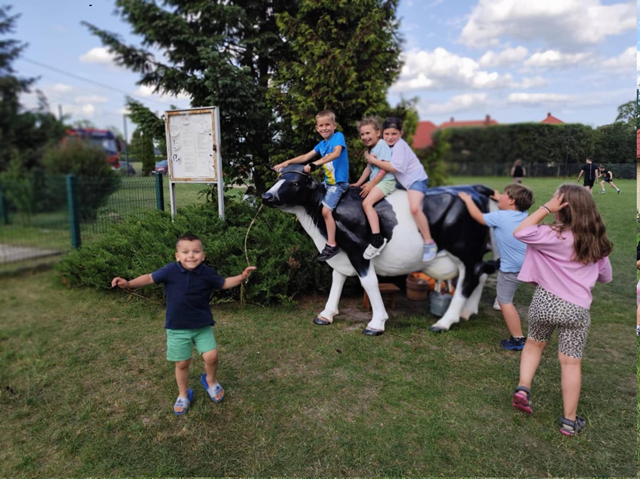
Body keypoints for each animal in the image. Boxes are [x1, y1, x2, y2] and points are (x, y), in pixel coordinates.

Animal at [262, 164, 499, 335]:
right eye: (277, 180)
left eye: (294, 183)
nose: (266, 196)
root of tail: (473, 188)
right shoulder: (340, 253)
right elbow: (337, 279)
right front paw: (326, 314)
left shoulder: (358, 250)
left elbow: (369, 283)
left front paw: (376, 323)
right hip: (474, 251)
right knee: (481, 274)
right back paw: (467, 312)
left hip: (465, 250)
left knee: (468, 280)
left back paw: (444, 322)